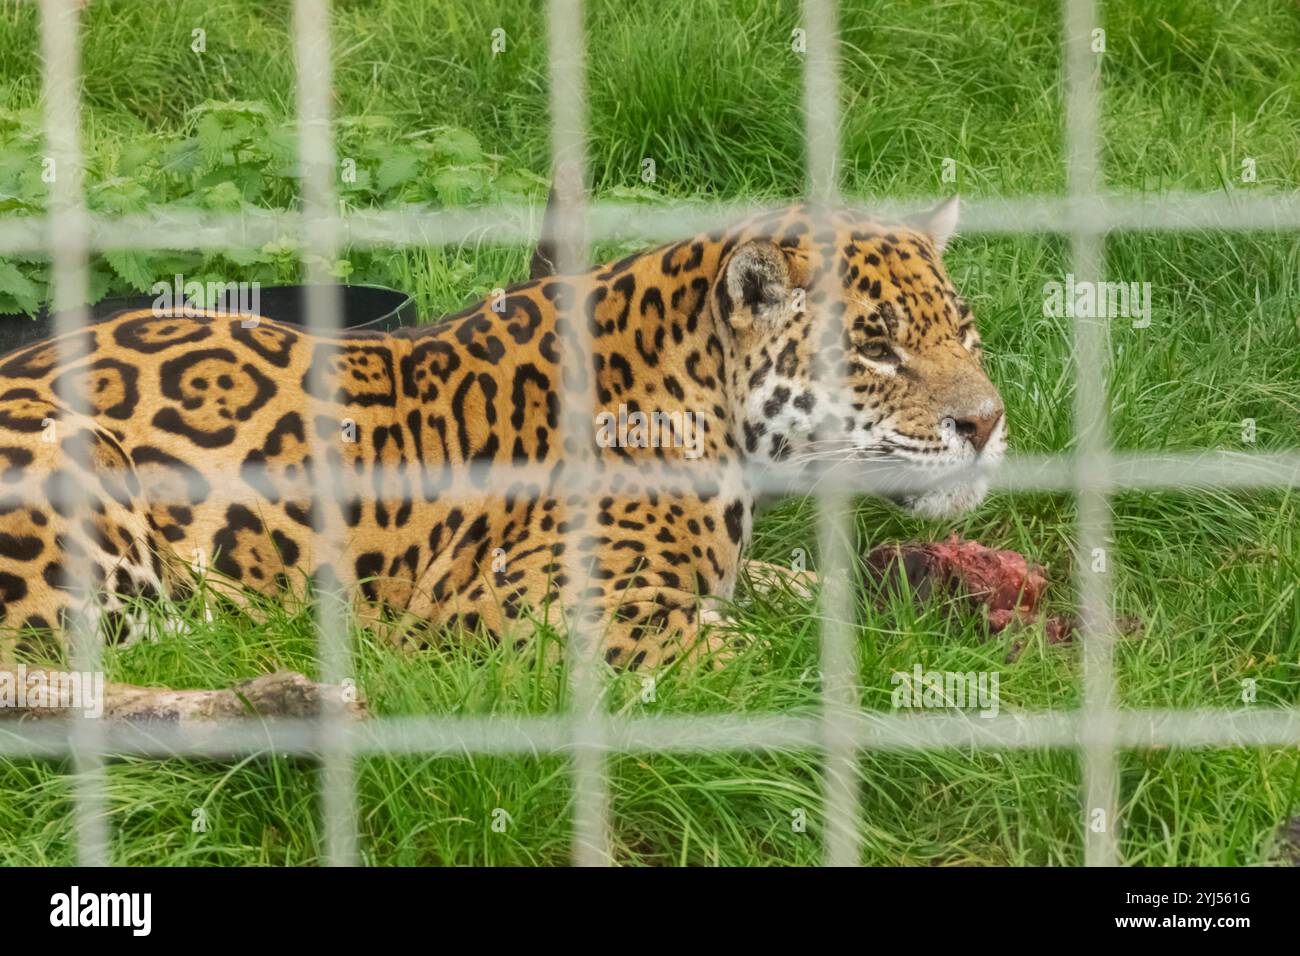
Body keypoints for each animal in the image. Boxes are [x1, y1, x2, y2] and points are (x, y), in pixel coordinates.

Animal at [0, 197, 1004, 719]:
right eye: (875, 347)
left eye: (963, 331)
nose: (988, 425)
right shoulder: (533, 602)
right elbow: (768, 660)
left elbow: (798, 589)